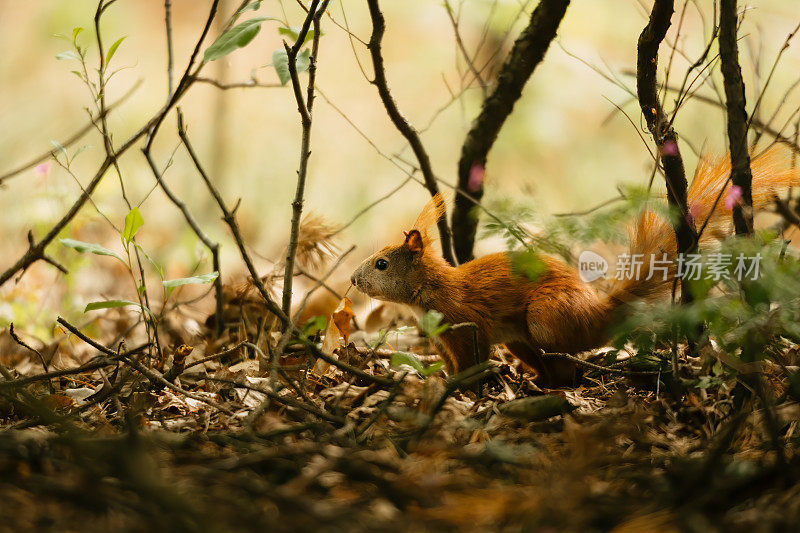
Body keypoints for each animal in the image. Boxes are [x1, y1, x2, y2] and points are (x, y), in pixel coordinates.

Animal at [352, 150, 800, 382]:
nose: (355, 280)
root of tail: (598, 311)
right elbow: (449, 361)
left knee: (570, 355)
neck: (427, 291)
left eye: (381, 263)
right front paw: (442, 378)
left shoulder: (465, 323)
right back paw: (540, 381)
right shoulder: (443, 337)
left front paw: (460, 383)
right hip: (521, 338)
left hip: (545, 318)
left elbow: (471, 360)